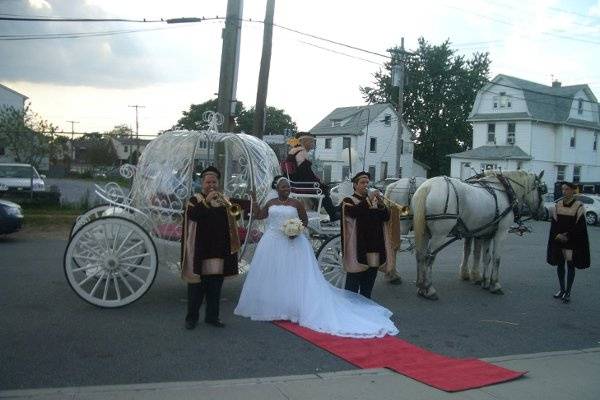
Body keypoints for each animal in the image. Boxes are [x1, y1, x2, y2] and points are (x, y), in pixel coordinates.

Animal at [410, 170, 548, 298]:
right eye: (541, 190)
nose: (544, 213)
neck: (505, 191)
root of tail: (428, 187)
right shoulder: (501, 232)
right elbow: (497, 258)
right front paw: (495, 284)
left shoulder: (487, 234)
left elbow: (486, 258)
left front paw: (485, 282)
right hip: (440, 234)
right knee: (429, 257)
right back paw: (429, 289)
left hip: (425, 232)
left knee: (420, 255)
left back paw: (421, 286)